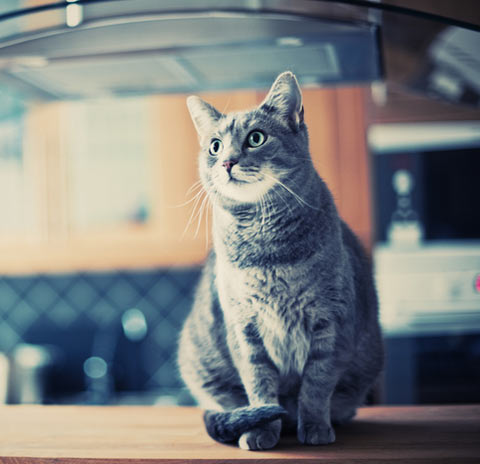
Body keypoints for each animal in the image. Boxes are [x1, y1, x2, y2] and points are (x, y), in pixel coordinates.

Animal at [178, 71, 384, 450]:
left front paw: (315, 428)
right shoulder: (245, 328)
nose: (227, 161)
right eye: (215, 146)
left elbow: (316, 386)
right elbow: (259, 388)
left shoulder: (330, 321)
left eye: (256, 138)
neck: (267, 251)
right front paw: (261, 430)